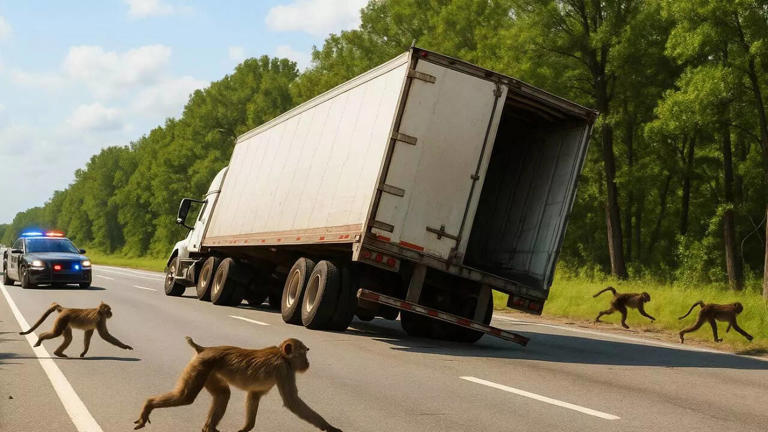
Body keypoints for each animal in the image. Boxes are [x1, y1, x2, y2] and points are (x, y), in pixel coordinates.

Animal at [133, 337, 342, 432]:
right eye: (304, 353)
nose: (308, 363)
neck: (282, 355)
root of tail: (203, 349)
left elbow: (254, 396)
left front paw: (246, 428)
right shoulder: (284, 369)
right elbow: (292, 402)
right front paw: (329, 427)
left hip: (208, 371)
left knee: (223, 394)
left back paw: (209, 427)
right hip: (200, 366)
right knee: (186, 397)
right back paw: (149, 404)